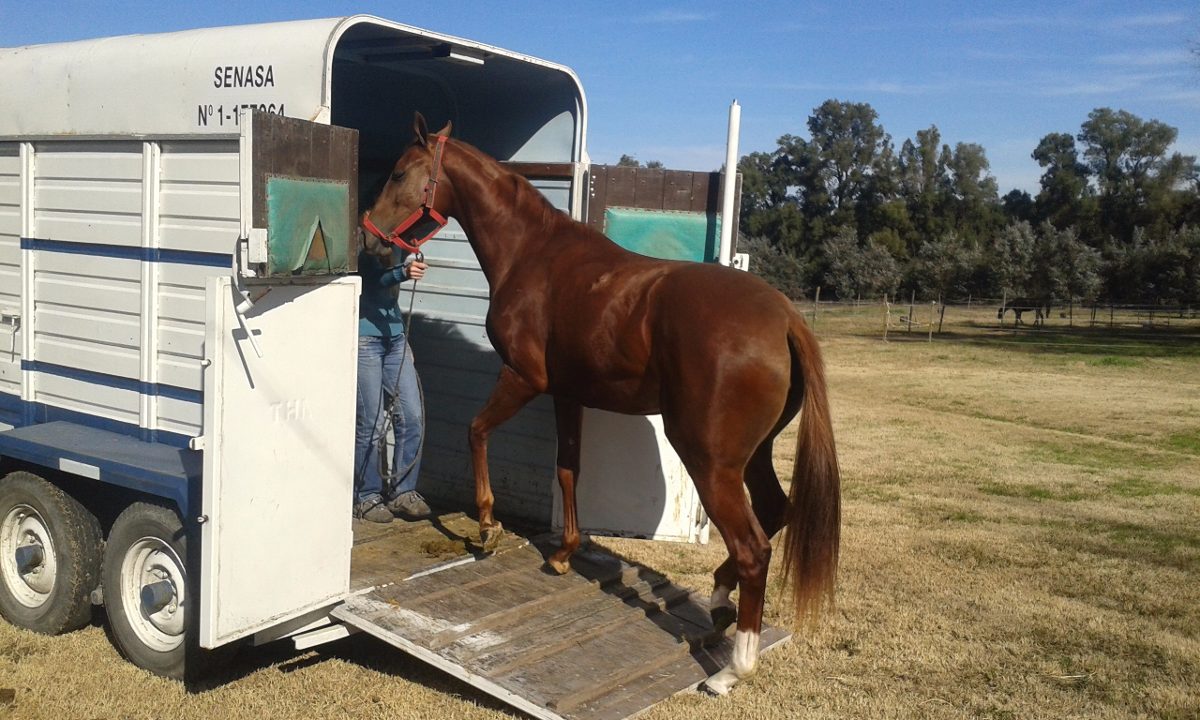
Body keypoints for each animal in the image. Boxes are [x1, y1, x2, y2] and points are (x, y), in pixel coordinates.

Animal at [362, 114, 840, 695]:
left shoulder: (524, 379)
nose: (370, 235)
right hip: (753, 455)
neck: (534, 255)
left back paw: (732, 668)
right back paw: (719, 601)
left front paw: (488, 526)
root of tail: (784, 317)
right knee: (774, 512)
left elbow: (476, 430)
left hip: (709, 460)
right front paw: (564, 552)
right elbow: (569, 469)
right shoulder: (569, 393)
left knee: (754, 548)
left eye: (399, 172)